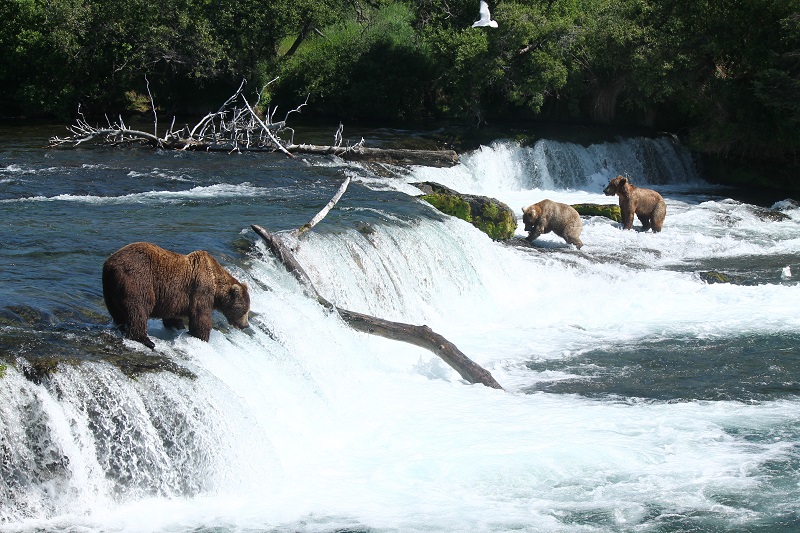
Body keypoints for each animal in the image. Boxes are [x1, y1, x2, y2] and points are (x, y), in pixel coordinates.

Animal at [102, 241, 250, 350]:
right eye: (245, 310)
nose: (246, 325)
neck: (216, 284)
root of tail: (110, 264)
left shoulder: (173, 297)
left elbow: (171, 313)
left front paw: (177, 324)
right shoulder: (201, 289)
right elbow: (200, 316)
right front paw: (200, 336)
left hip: (109, 288)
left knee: (117, 311)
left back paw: (122, 327)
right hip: (139, 277)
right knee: (139, 307)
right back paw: (146, 340)